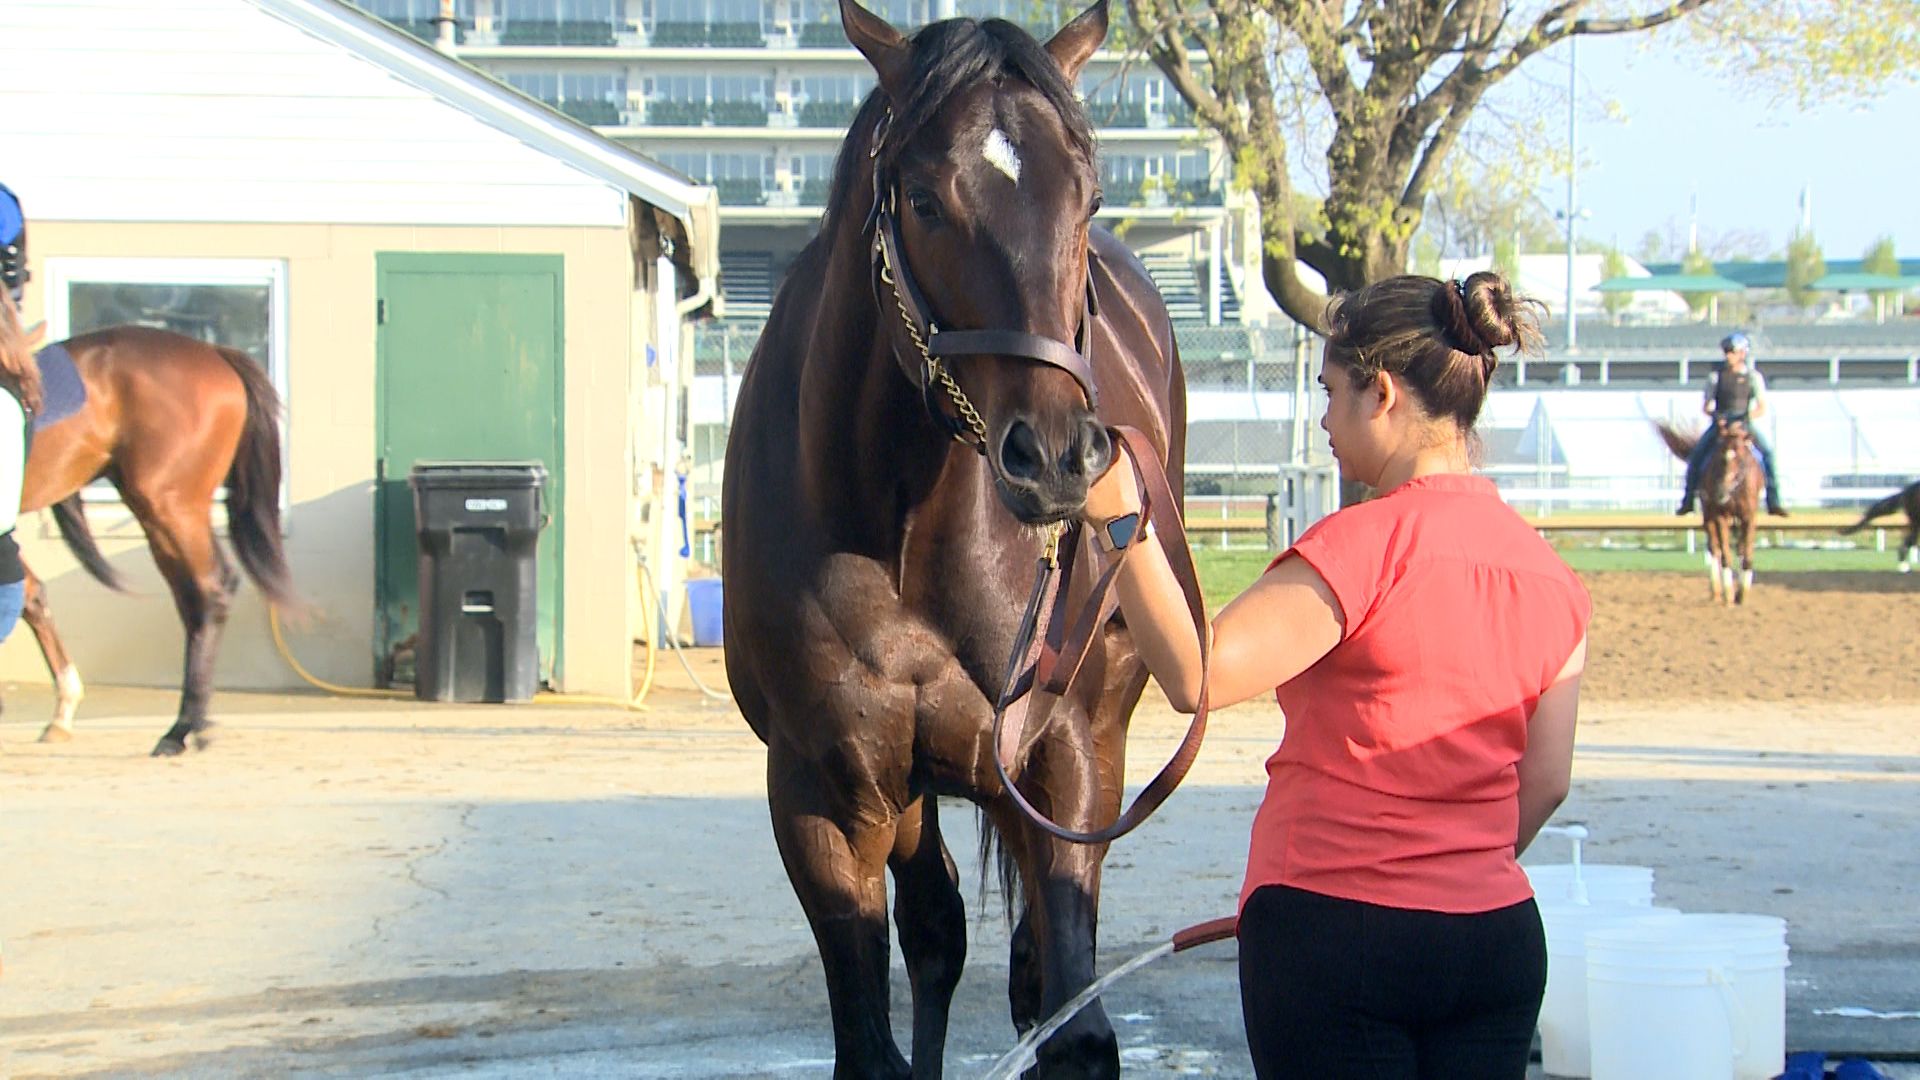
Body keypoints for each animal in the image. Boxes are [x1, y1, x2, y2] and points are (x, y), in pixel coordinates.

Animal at [0, 288, 295, 757]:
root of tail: (215, 352)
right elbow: (31, 595)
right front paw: (63, 709)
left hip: (169, 507)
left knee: (208, 592)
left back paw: (182, 727)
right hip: (168, 514)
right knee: (195, 596)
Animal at [721, 4, 1182, 1068]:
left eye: (1089, 199)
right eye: (925, 201)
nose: (1054, 457)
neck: (901, 531)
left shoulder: (1062, 760)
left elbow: (1075, 1027)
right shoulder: (824, 793)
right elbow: (874, 1035)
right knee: (937, 931)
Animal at [1658, 418, 1758, 607]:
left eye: (1741, 458)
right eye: (1720, 457)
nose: (1721, 493)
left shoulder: (1748, 517)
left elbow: (1746, 552)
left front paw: (1742, 593)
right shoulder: (1720, 516)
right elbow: (1724, 552)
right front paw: (1729, 594)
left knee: (1737, 548)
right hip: (1709, 516)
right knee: (1714, 547)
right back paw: (1717, 591)